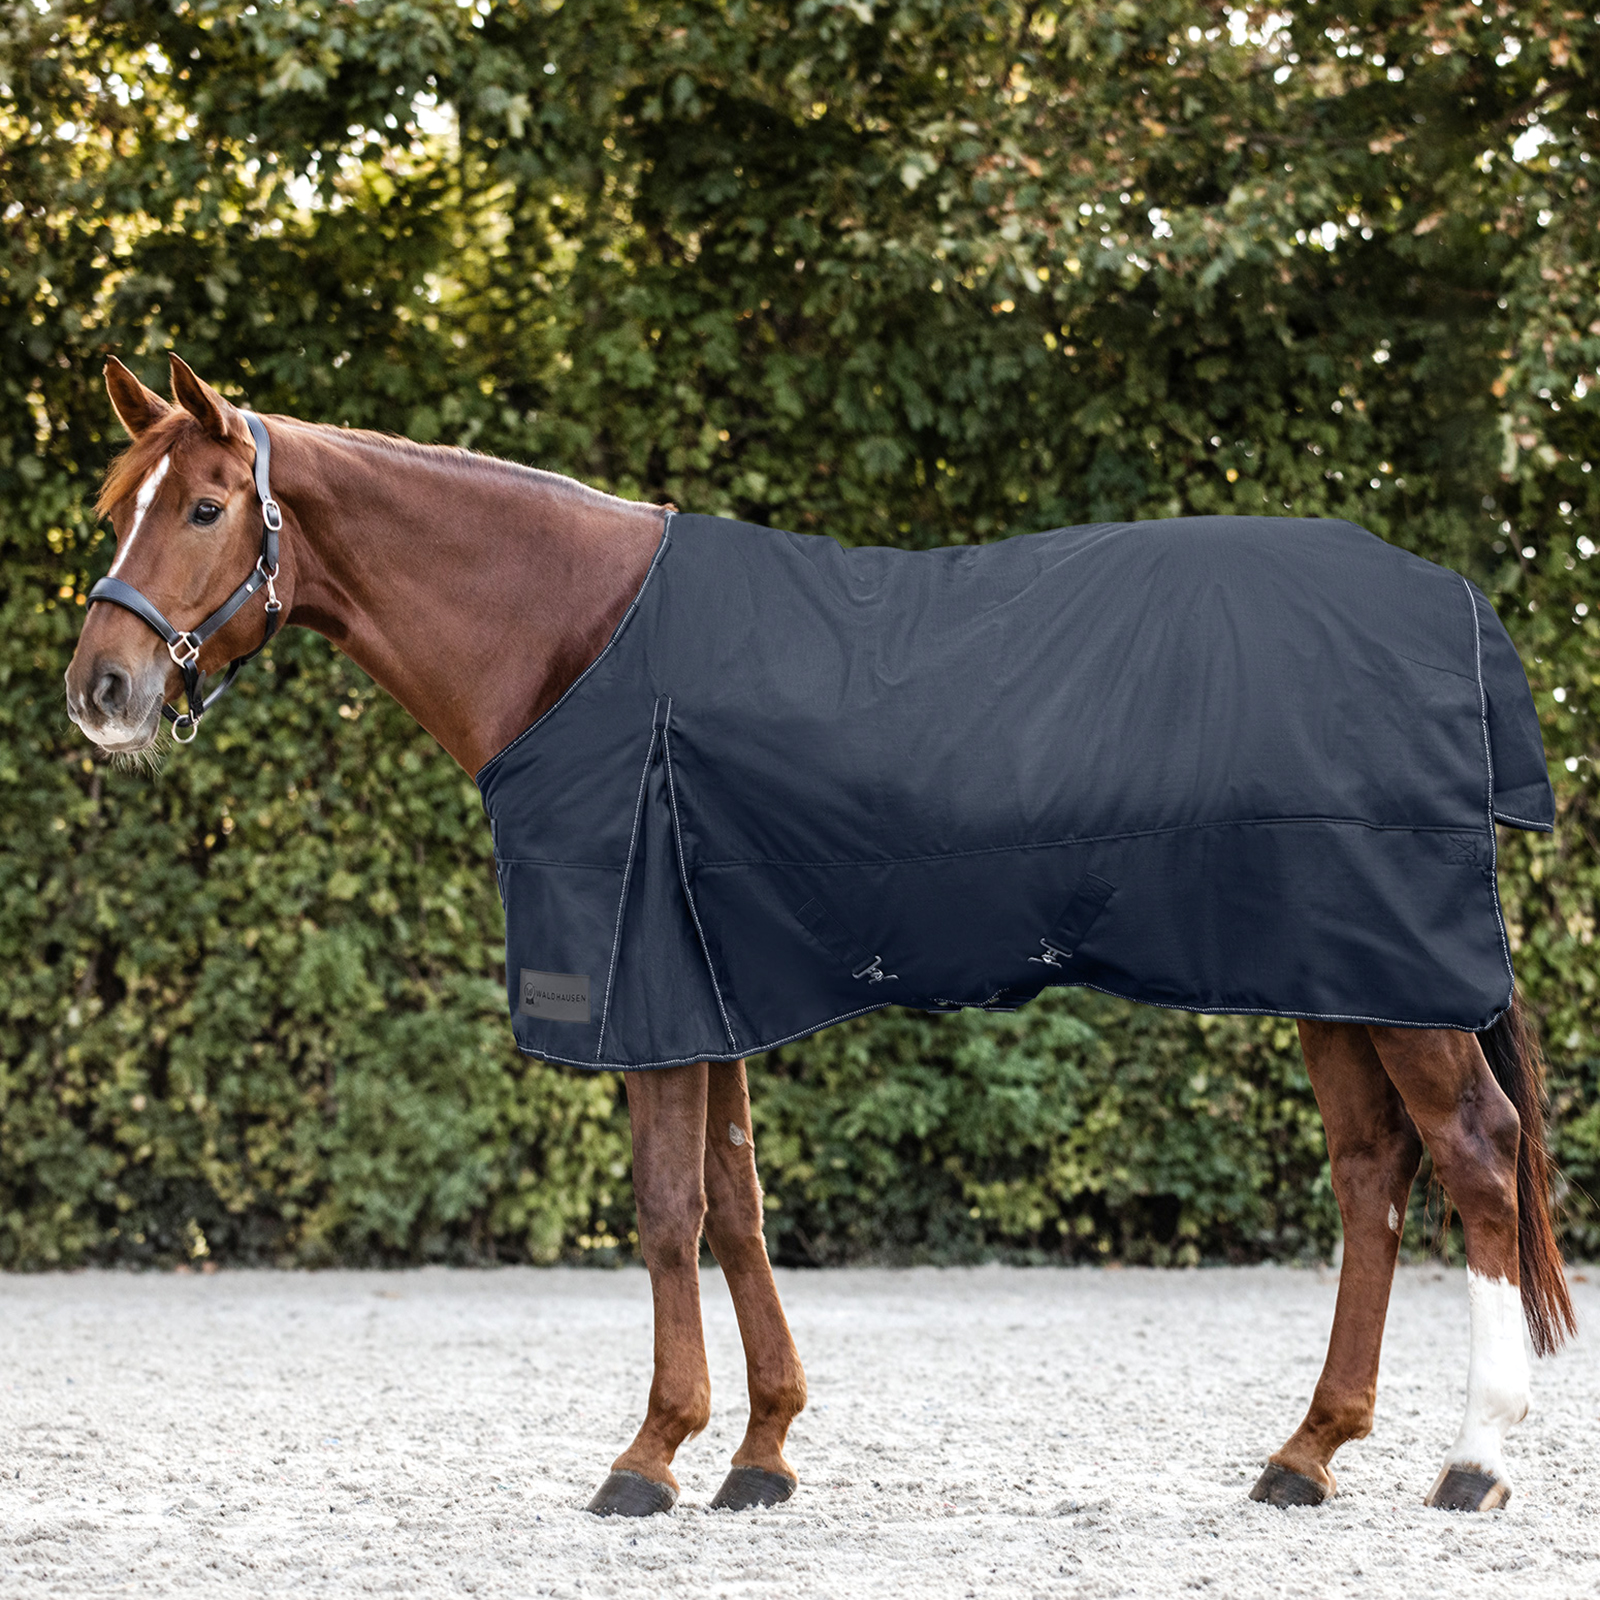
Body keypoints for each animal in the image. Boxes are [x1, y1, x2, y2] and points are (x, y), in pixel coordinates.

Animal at [64, 354, 1575, 1517]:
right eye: (110, 506)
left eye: (206, 506)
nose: (102, 690)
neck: (572, 637)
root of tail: (1452, 605)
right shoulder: (705, 980)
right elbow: (736, 1207)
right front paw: (763, 1449)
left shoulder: (649, 985)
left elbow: (667, 1212)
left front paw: (649, 1456)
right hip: (1338, 975)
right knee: (1373, 1173)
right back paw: (1307, 1453)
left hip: (1397, 981)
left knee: (1475, 1156)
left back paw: (1472, 1460)